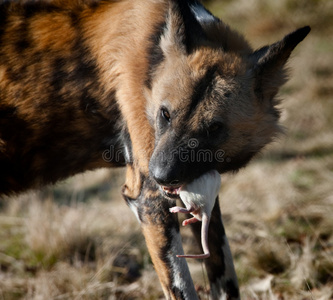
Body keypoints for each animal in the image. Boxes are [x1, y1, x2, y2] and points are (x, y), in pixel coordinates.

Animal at [1, 0, 310, 298]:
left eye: (213, 128)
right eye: (166, 114)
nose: (161, 175)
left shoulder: (199, 195)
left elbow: (225, 278)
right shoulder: (150, 201)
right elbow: (182, 288)